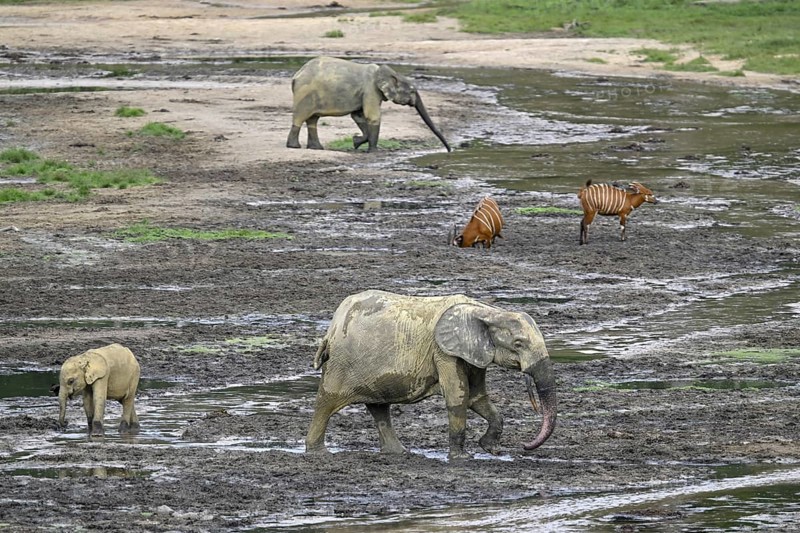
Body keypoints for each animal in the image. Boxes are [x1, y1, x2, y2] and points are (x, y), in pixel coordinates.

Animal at [286, 56, 451, 153]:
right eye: (412, 91)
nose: (449, 151)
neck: (389, 73)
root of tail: (296, 75)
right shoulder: (370, 90)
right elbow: (373, 117)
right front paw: (373, 151)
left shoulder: (366, 93)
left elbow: (358, 116)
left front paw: (355, 142)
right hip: (305, 94)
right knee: (300, 117)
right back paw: (294, 147)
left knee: (313, 119)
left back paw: (317, 148)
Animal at [306, 290, 557, 460]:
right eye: (518, 344)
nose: (524, 446)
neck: (487, 312)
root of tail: (331, 328)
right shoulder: (444, 352)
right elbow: (458, 396)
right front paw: (461, 458)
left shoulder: (473, 353)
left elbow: (477, 397)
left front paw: (490, 448)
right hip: (340, 363)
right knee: (326, 403)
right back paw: (318, 452)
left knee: (379, 408)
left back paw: (399, 452)